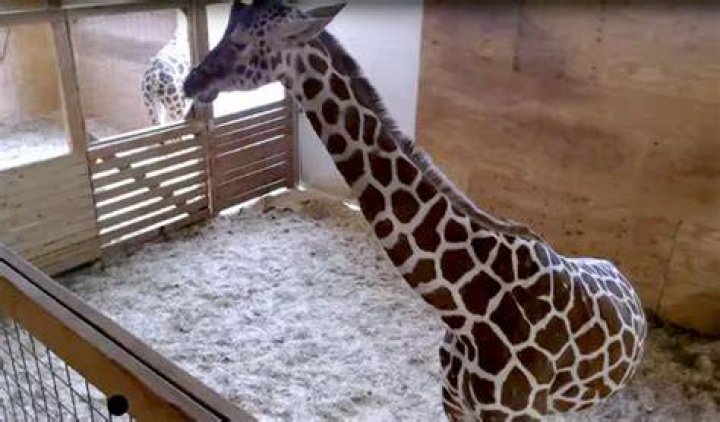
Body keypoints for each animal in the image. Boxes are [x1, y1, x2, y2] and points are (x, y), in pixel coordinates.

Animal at [184, 1, 647, 420]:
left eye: (242, 41)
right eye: (225, 31)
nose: (191, 81)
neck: (468, 309)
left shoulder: (513, 414)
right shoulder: (454, 404)